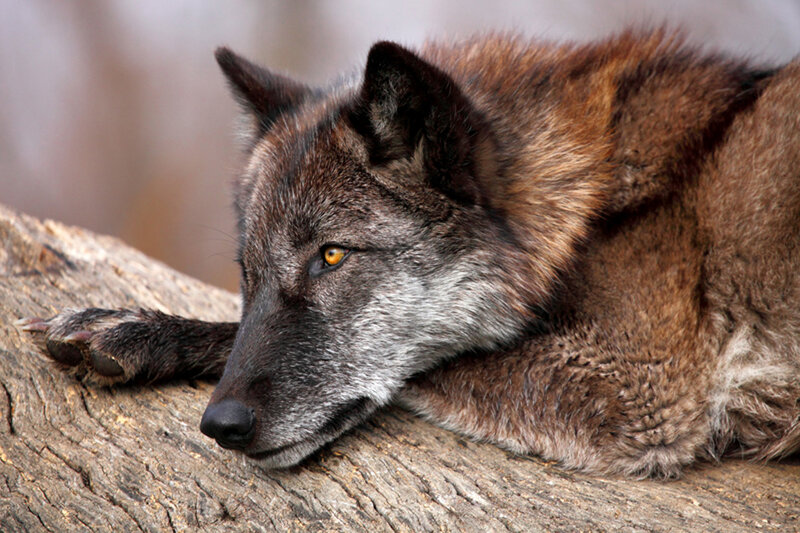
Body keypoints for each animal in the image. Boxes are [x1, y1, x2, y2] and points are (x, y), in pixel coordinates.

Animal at [19, 30, 800, 478]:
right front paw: (134, 327)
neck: (588, 206)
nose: (221, 425)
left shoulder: (642, 387)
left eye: (332, 257)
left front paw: (136, 330)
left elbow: (431, 365)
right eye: (247, 273)